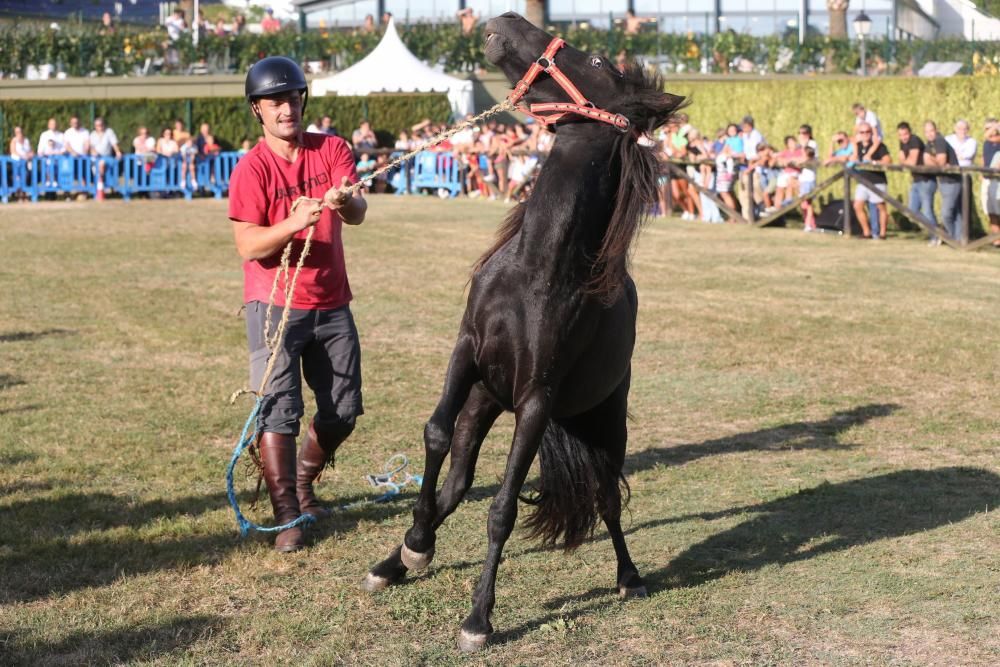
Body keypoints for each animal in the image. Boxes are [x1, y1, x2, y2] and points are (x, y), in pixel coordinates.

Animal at [364, 13, 684, 652]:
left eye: (598, 64)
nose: (507, 20)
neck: (539, 267)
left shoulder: (537, 400)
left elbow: (503, 510)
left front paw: (478, 619)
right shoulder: (466, 351)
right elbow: (435, 436)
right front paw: (413, 547)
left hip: (603, 417)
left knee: (607, 497)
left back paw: (630, 577)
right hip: (488, 400)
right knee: (458, 481)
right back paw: (399, 557)